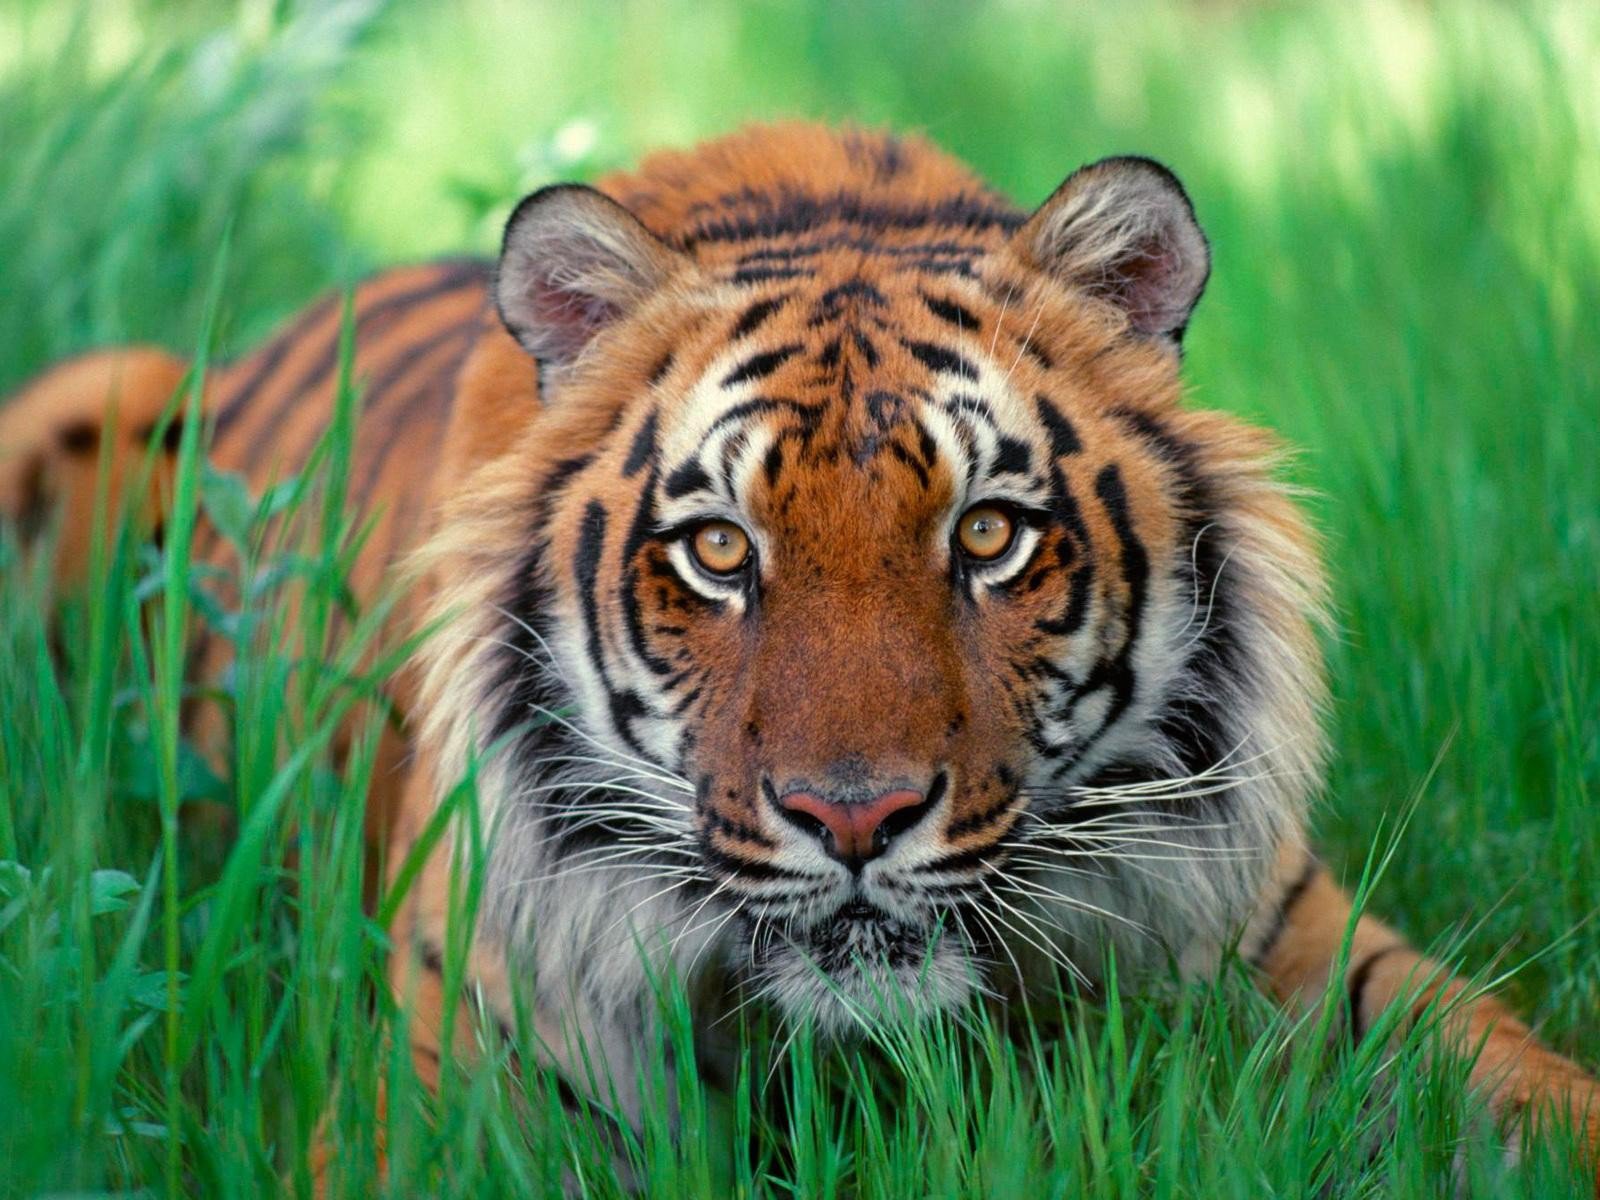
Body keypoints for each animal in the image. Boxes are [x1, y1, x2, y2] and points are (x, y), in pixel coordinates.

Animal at [2, 122, 1596, 1186]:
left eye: (988, 534)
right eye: (719, 552)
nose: (854, 819)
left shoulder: (1295, 942)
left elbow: (1524, 1091)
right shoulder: (454, 1078)